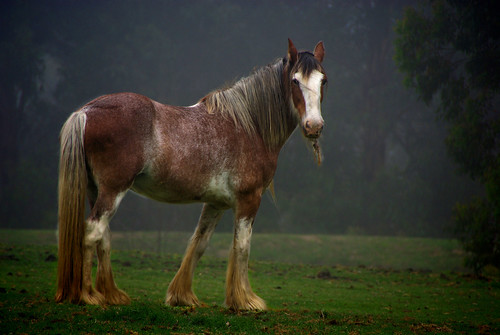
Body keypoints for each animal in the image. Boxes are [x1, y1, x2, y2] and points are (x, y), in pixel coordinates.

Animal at [55, 39, 328, 312]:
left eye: (323, 81)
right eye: (294, 81)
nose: (314, 126)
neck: (250, 126)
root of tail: (87, 111)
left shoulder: (216, 203)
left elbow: (199, 243)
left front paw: (182, 296)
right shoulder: (249, 199)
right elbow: (242, 246)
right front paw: (246, 300)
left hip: (95, 191)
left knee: (104, 237)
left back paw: (110, 294)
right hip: (113, 191)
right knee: (92, 233)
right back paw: (88, 295)